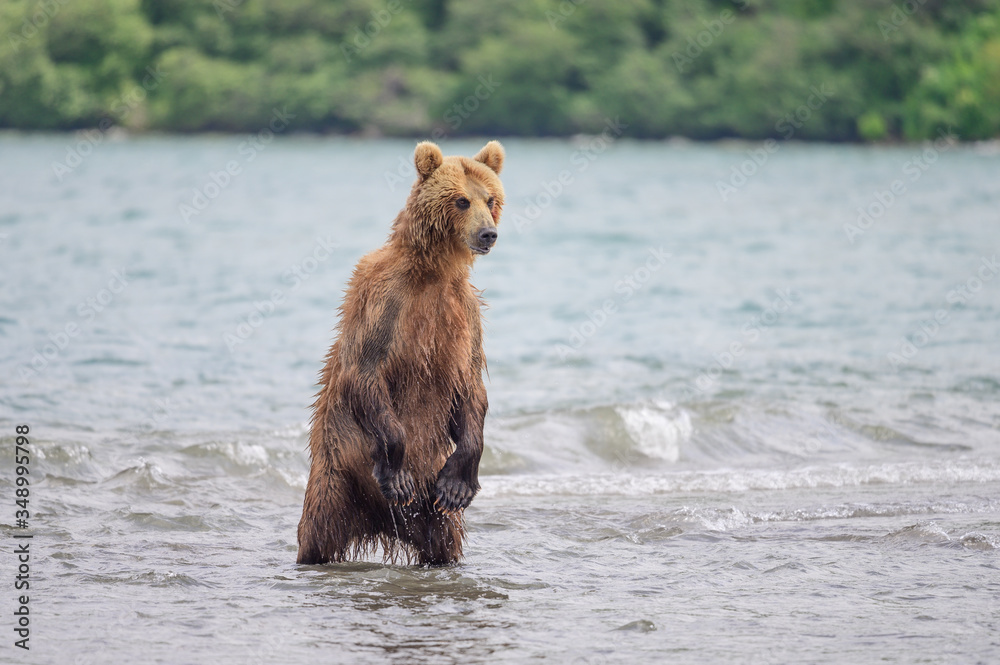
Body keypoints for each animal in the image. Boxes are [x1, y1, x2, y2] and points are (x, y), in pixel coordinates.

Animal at [296, 140, 505, 566]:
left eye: (490, 199)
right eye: (461, 200)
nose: (488, 234)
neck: (434, 271)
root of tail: (376, 518)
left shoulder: (465, 314)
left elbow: (470, 384)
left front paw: (460, 484)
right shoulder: (383, 298)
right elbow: (366, 370)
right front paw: (396, 474)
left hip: (431, 511)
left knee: (444, 539)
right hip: (335, 473)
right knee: (318, 533)